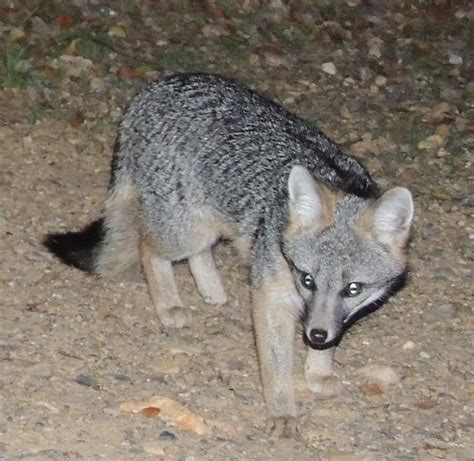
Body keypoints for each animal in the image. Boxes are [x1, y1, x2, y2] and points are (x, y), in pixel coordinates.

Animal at [45, 72, 414, 434]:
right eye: (307, 279)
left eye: (353, 289)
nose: (316, 334)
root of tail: (156, 87)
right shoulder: (270, 297)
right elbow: (277, 367)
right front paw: (282, 412)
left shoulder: (326, 314)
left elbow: (330, 335)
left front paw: (319, 369)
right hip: (185, 231)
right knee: (148, 247)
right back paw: (169, 305)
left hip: (208, 225)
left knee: (197, 253)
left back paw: (212, 290)